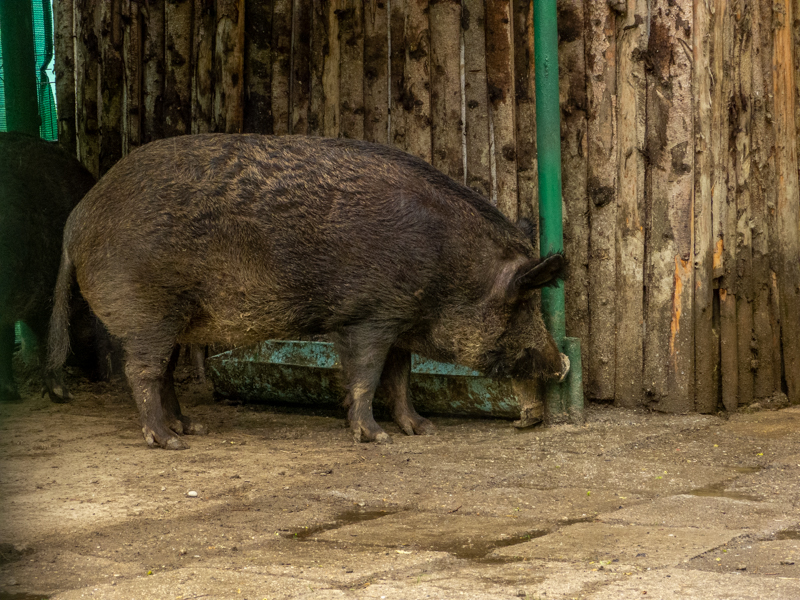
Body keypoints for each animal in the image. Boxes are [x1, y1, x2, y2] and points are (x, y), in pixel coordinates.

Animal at [47, 134, 568, 448]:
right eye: (524, 301)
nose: (560, 362)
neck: (448, 266)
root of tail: (77, 220)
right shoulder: (368, 316)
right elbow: (366, 376)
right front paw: (375, 437)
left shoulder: (397, 318)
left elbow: (400, 377)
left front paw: (423, 429)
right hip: (147, 310)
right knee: (141, 371)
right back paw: (170, 441)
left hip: (177, 317)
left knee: (166, 374)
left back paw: (192, 426)